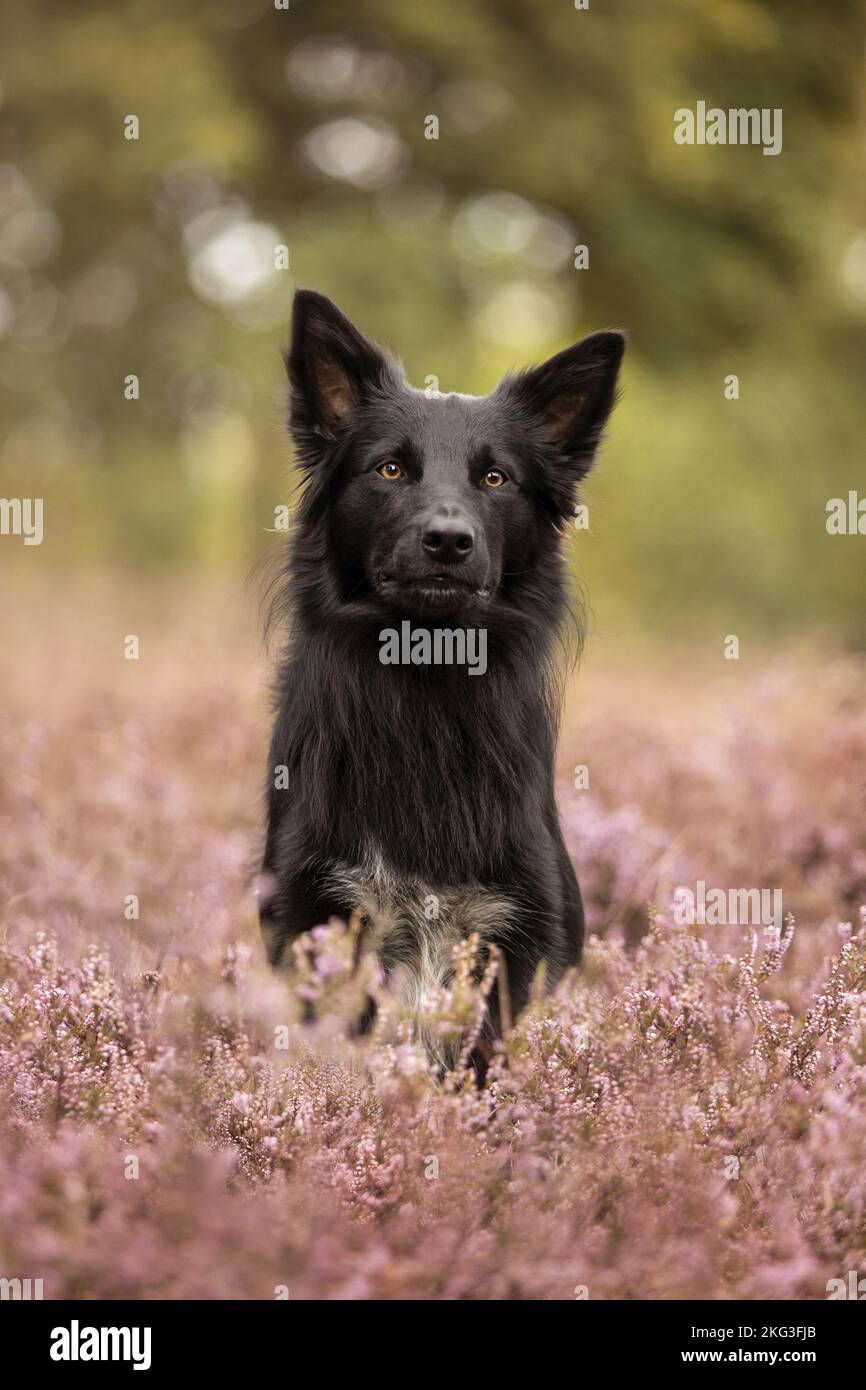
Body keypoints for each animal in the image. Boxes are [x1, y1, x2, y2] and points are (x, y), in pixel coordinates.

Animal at [261, 287, 625, 1056]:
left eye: (495, 477)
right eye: (390, 469)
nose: (449, 540)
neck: (426, 681)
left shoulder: (516, 936)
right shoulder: (317, 913)